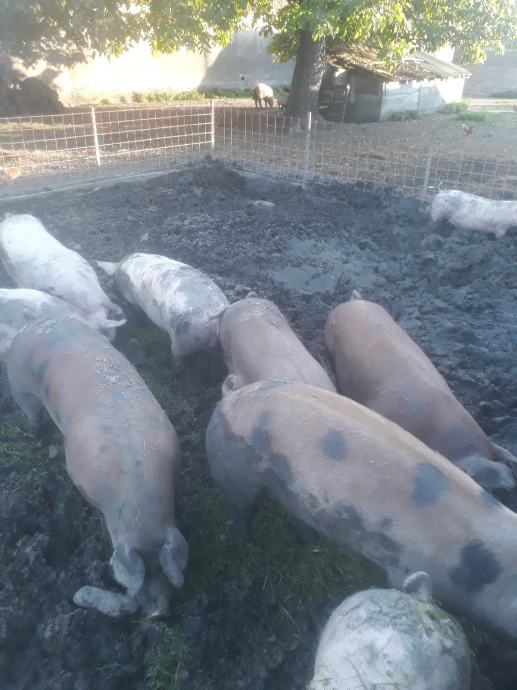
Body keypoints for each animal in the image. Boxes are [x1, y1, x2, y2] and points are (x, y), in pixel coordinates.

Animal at [7, 316, 188, 617]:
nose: (156, 613)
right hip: (19, 386)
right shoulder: (77, 471)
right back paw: (35, 435)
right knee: (30, 412)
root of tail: (35, 324)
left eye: (162, 573)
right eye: (128, 582)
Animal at [97, 252, 229, 359]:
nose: (107, 285)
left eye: (112, 279)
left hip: (183, 339)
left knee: (178, 357)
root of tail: (211, 314)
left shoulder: (132, 298)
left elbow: (136, 309)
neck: (121, 267)